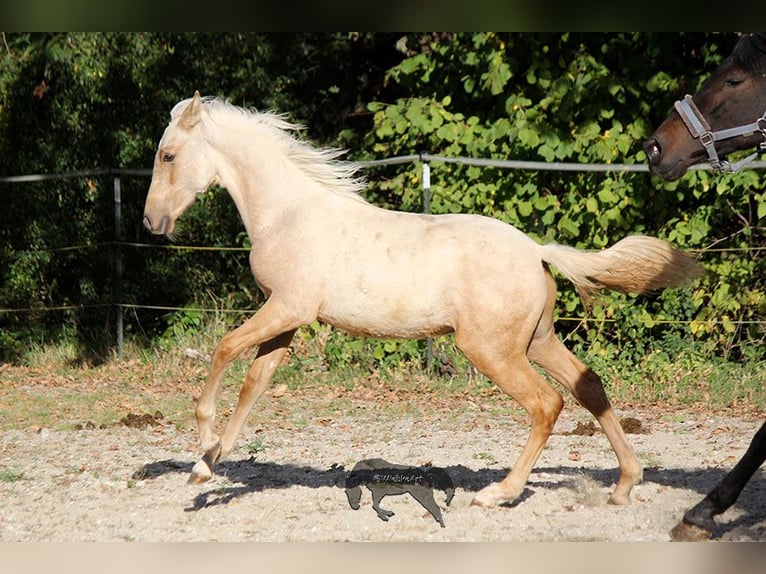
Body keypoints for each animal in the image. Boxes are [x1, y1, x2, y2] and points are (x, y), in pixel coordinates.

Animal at [144, 92, 704, 510]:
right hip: (537, 341)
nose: (152, 222)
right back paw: (625, 483)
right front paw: (206, 467)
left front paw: (203, 446)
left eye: (168, 155)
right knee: (590, 387)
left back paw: (500, 493)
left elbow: (223, 349)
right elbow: (255, 384)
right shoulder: (287, 321)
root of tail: (536, 251)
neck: (288, 214)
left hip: (490, 350)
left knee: (547, 403)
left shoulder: (287, 308)